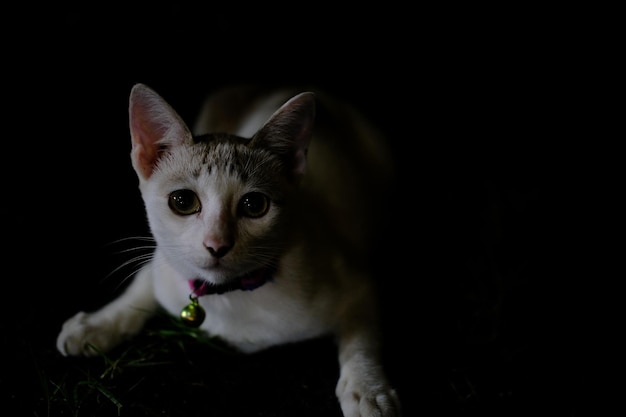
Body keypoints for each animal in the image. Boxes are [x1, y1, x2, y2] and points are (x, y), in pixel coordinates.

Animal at [56, 83, 402, 414]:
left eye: (254, 205)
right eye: (182, 201)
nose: (216, 244)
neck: (228, 297)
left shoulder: (357, 281)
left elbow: (362, 335)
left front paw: (367, 389)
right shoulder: (162, 259)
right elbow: (144, 280)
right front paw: (97, 325)